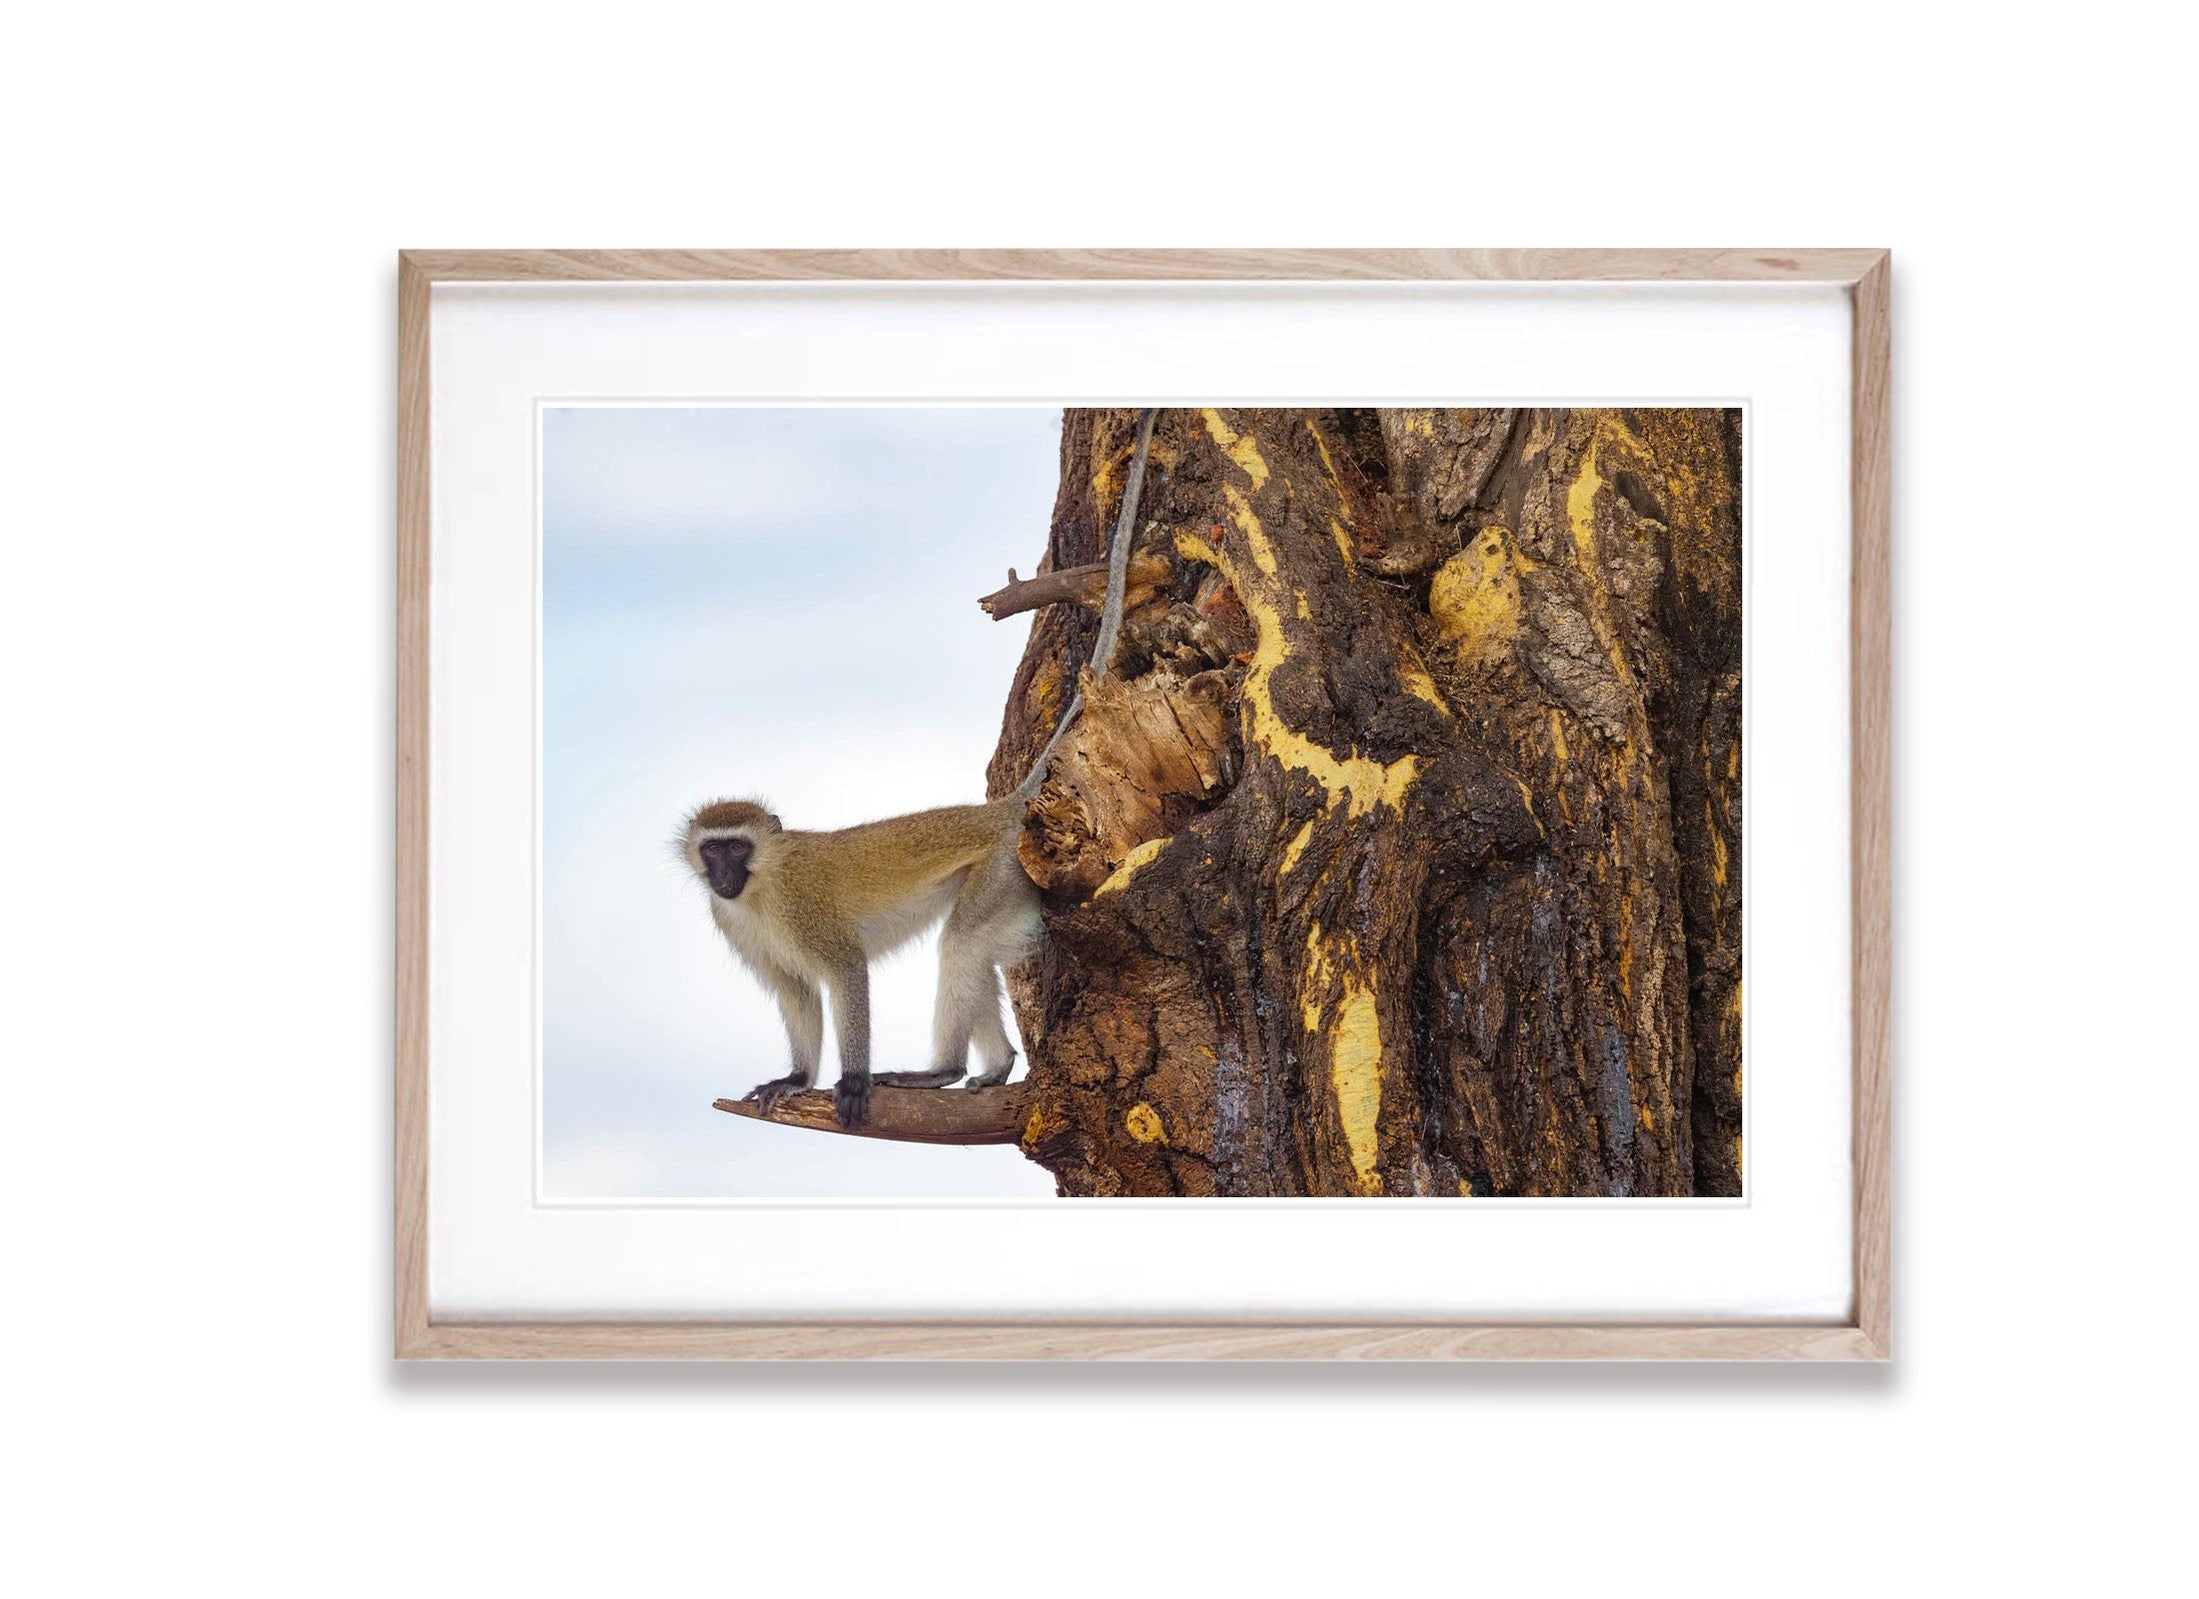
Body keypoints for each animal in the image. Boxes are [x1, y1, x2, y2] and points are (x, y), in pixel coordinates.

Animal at [678, 408, 1159, 1128]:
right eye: (712, 851)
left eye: (737, 847)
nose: (724, 875)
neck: (761, 890)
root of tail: (1000, 810)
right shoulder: (732, 922)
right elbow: (796, 992)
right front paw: (794, 1076)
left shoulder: (804, 908)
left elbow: (846, 974)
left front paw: (850, 1080)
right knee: (972, 949)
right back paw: (992, 1065)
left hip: (999, 870)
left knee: (962, 943)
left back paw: (943, 1070)